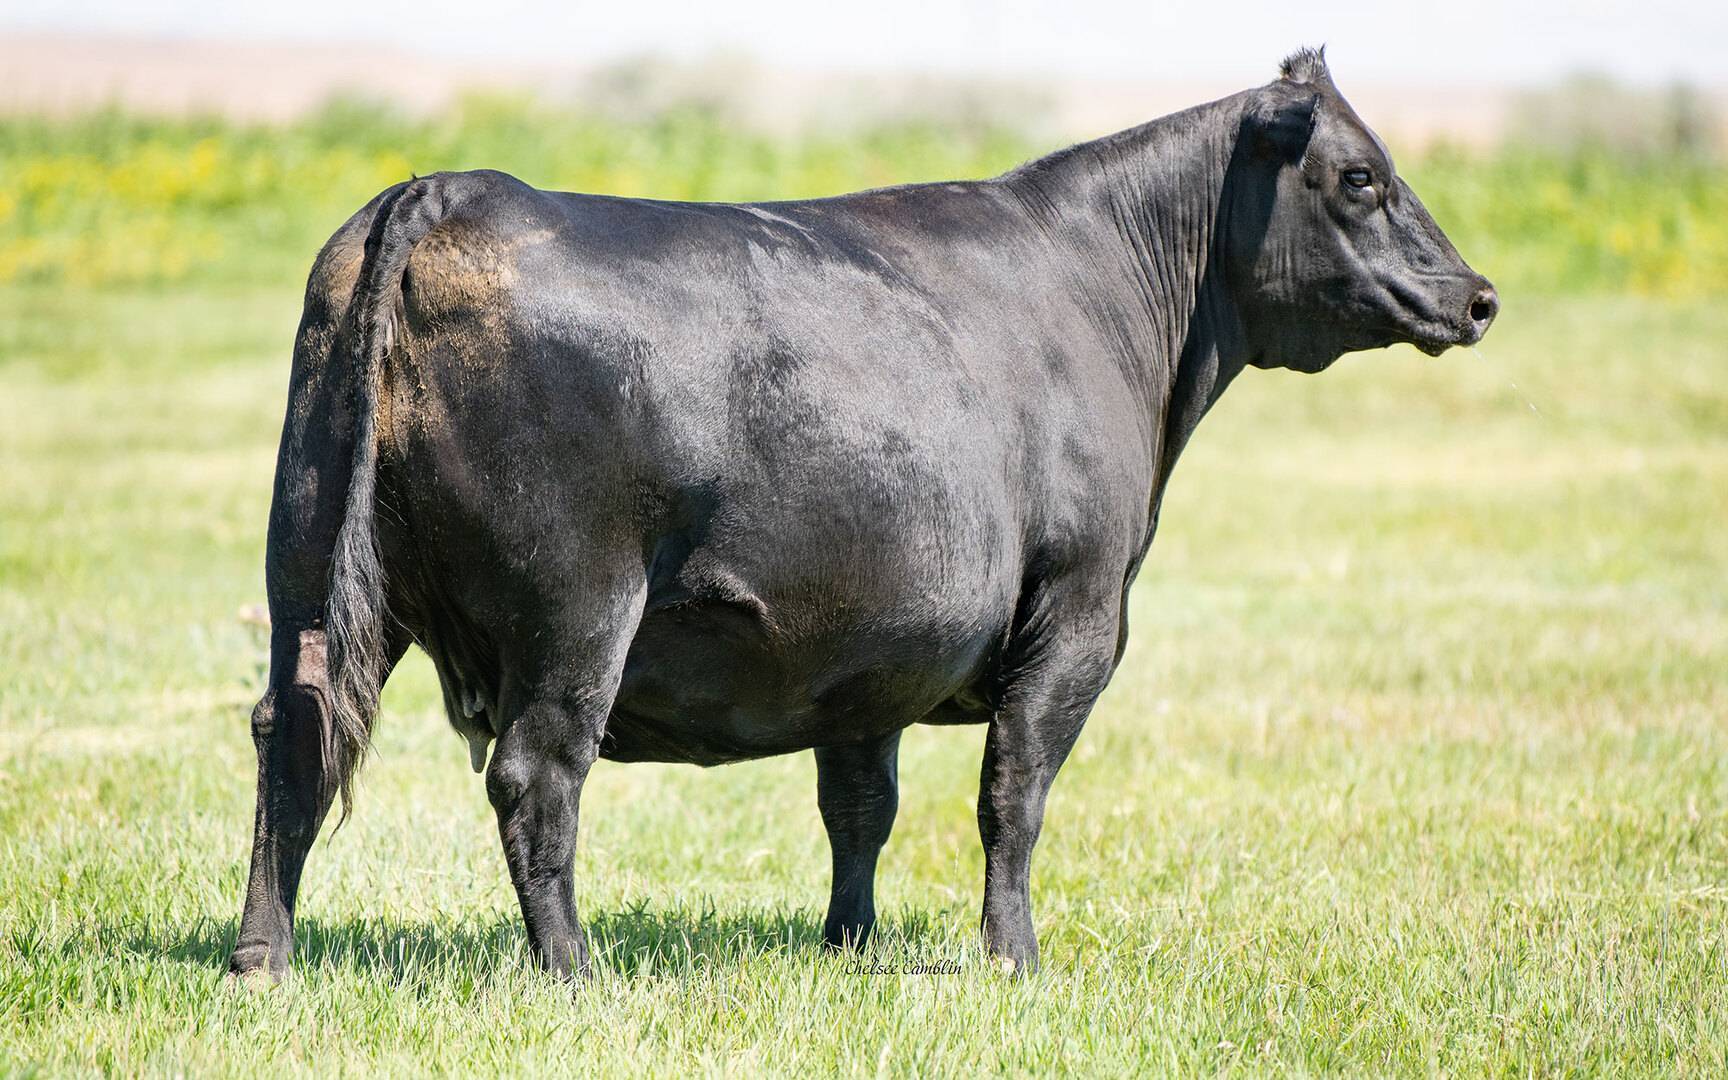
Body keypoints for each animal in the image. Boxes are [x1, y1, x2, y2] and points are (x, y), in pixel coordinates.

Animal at [228, 48, 1497, 981]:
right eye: (1362, 179)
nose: (1478, 296)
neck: (1107, 296)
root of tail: (450, 189)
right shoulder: (1081, 612)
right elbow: (1013, 794)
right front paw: (1014, 959)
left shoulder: (870, 645)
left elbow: (860, 807)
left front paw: (849, 947)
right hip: (576, 606)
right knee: (538, 774)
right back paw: (572, 971)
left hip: (310, 571)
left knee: (295, 731)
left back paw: (262, 960)